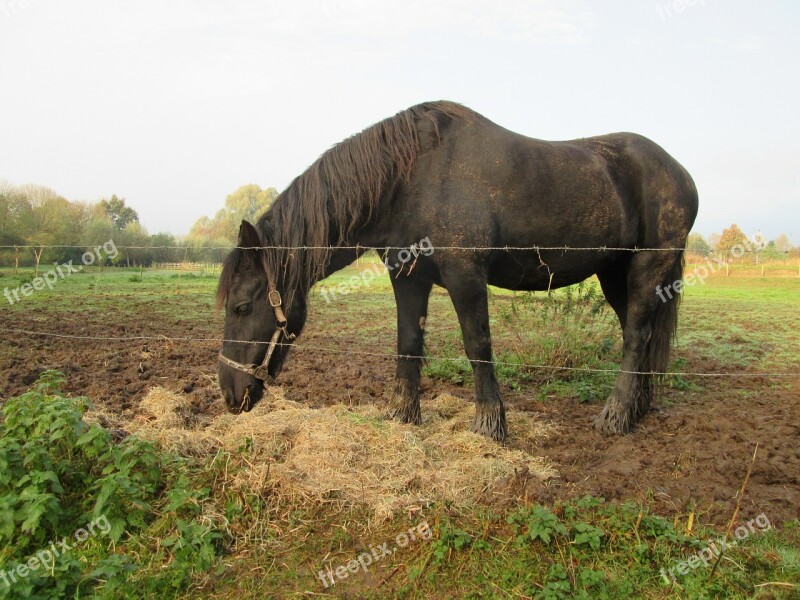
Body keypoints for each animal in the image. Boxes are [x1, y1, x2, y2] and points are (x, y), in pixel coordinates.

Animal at [216, 102, 696, 440]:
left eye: (241, 307)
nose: (229, 395)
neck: (409, 176)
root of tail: (680, 173)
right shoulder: (407, 278)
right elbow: (409, 344)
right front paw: (404, 416)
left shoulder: (466, 275)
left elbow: (477, 344)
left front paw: (490, 424)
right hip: (615, 275)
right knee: (640, 334)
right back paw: (636, 410)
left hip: (647, 268)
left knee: (635, 338)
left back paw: (615, 416)